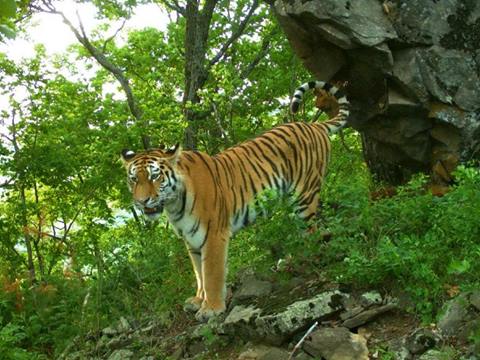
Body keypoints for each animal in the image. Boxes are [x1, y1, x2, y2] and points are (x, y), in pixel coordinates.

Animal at [122, 81, 350, 320]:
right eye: (133, 179)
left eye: (154, 176)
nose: (141, 201)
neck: (174, 204)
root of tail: (314, 126)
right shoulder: (190, 240)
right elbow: (198, 272)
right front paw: (198, 300)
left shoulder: (213, 234)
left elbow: (211, 273)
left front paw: (211, 308)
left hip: (305, 195)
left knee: (312, 230)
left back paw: (310, 258)